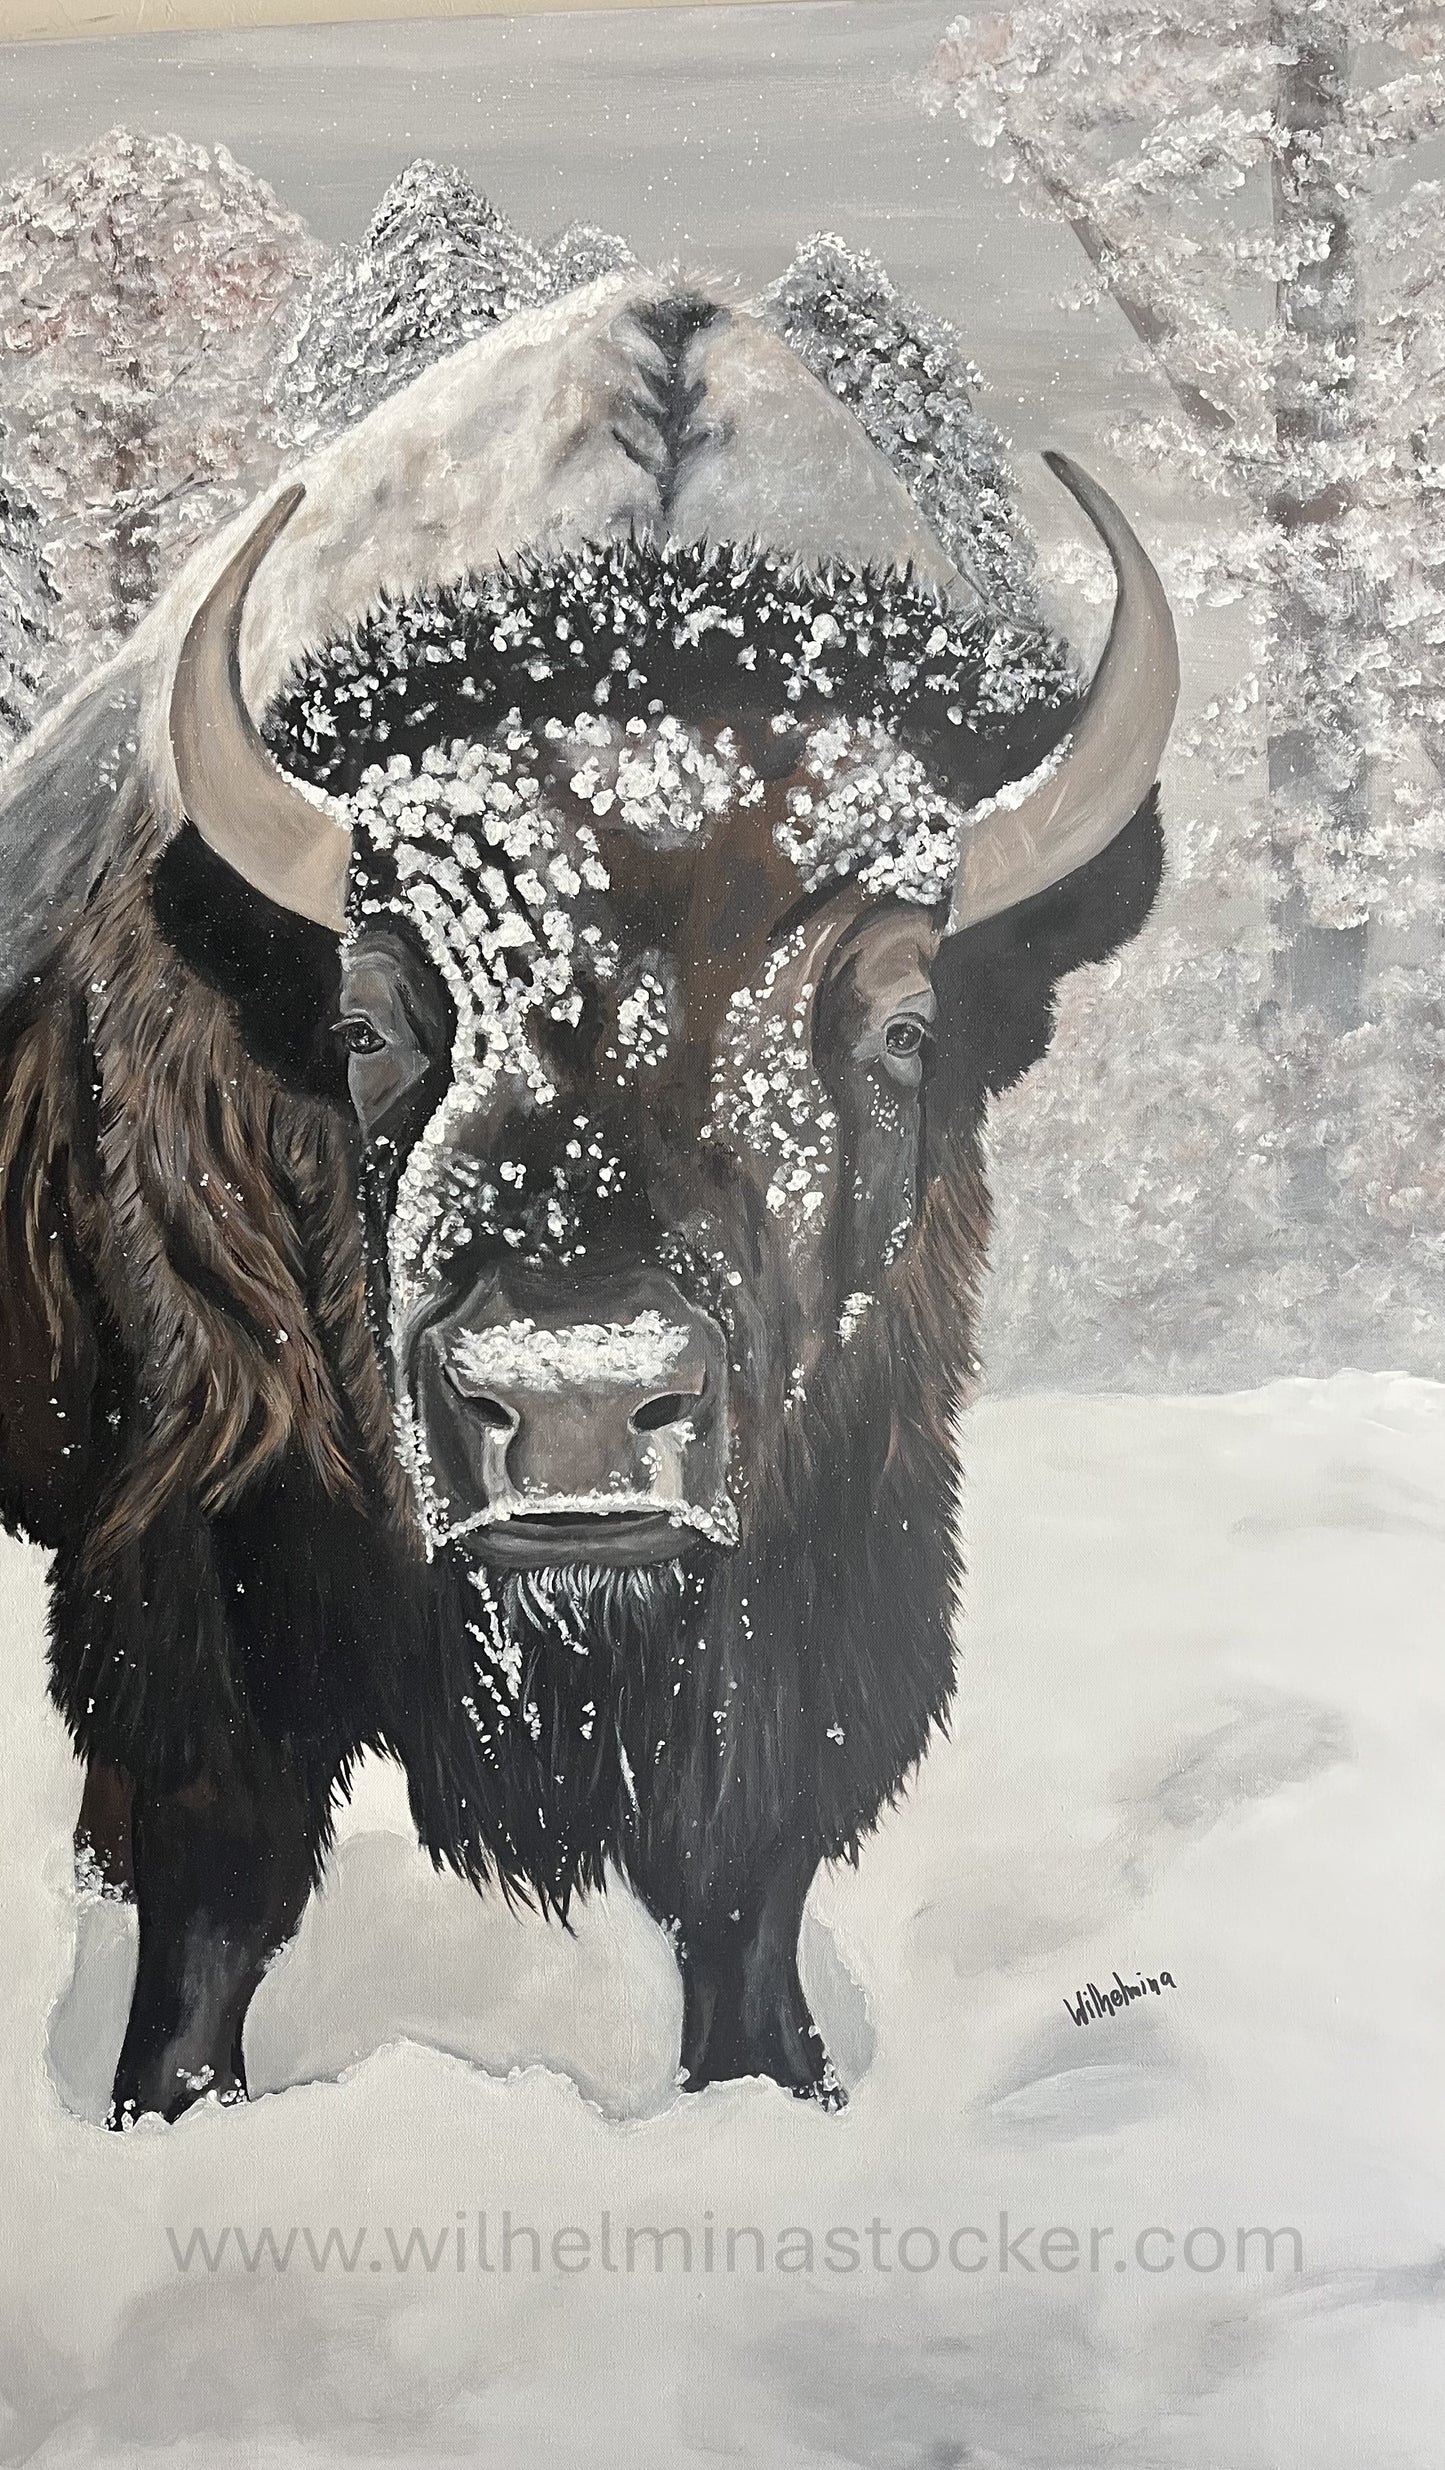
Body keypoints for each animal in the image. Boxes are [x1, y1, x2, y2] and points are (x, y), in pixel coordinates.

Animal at [0, 276, 1177, 2121]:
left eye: (905, 1026)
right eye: (367, 1020)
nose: (571, 1408)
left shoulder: (831, 1537)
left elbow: (750, 1871)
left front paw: (776, 2086)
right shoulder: (206, 1517)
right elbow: (218, 1872)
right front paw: (164, 2108)